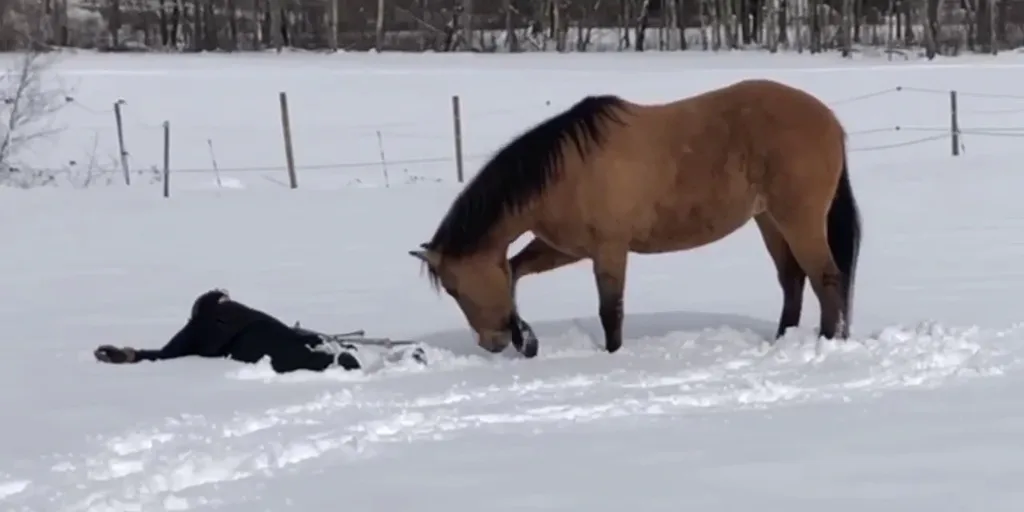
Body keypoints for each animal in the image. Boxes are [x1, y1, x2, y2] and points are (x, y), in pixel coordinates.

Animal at [409, 79, 862, 359]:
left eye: (453, 288)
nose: (492, 343)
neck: (566, 170)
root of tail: (830, 121)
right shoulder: (566, 248)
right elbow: (515, 271)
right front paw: (528, 339)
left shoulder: (609, 250)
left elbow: (610, 311)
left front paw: (613, 357)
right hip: (769, 219)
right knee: (793, 279)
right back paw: (782, 341)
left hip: (799, 218)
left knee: (826, 278)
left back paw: (827, 342)